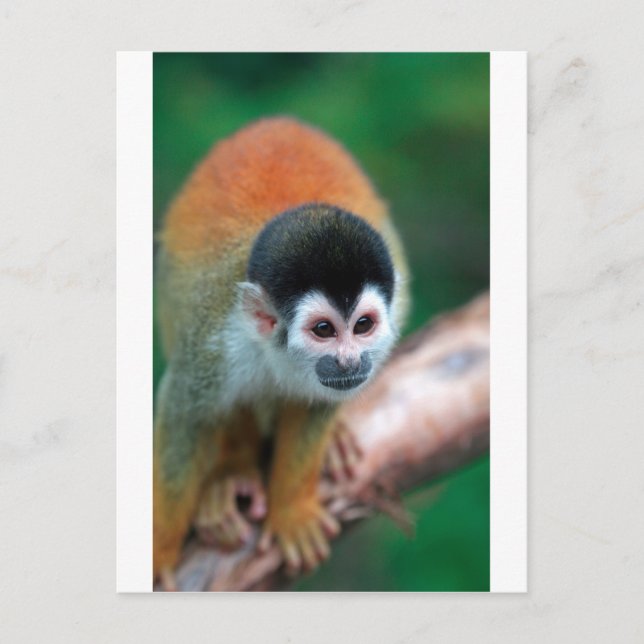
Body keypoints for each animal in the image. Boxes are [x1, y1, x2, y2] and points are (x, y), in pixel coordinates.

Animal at [153, 116, 409, 589]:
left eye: (362, 325)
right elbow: (185, 416)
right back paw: (231, 473)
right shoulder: (212, 345)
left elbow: (314, 408)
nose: (349, 360)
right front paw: (158, 548)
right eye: (324, 330)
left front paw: (291, 511)